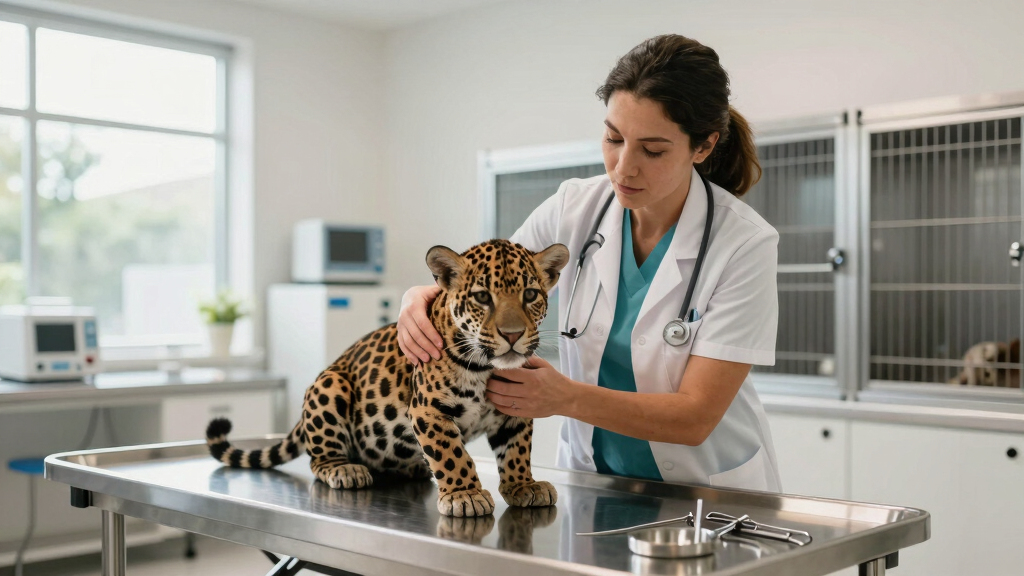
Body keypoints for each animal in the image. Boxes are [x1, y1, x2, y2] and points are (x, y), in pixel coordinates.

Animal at [206, 239, 570, 517]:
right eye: (482, 297)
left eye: (530, 295)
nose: (513, 335)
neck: (487, 368)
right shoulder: (428, 410)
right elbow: (453, 454)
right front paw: (464, 494)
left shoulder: (516, 409)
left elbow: (516, 451)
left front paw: (523, 485)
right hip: (329, 386)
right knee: (318, 457)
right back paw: (344, 469)